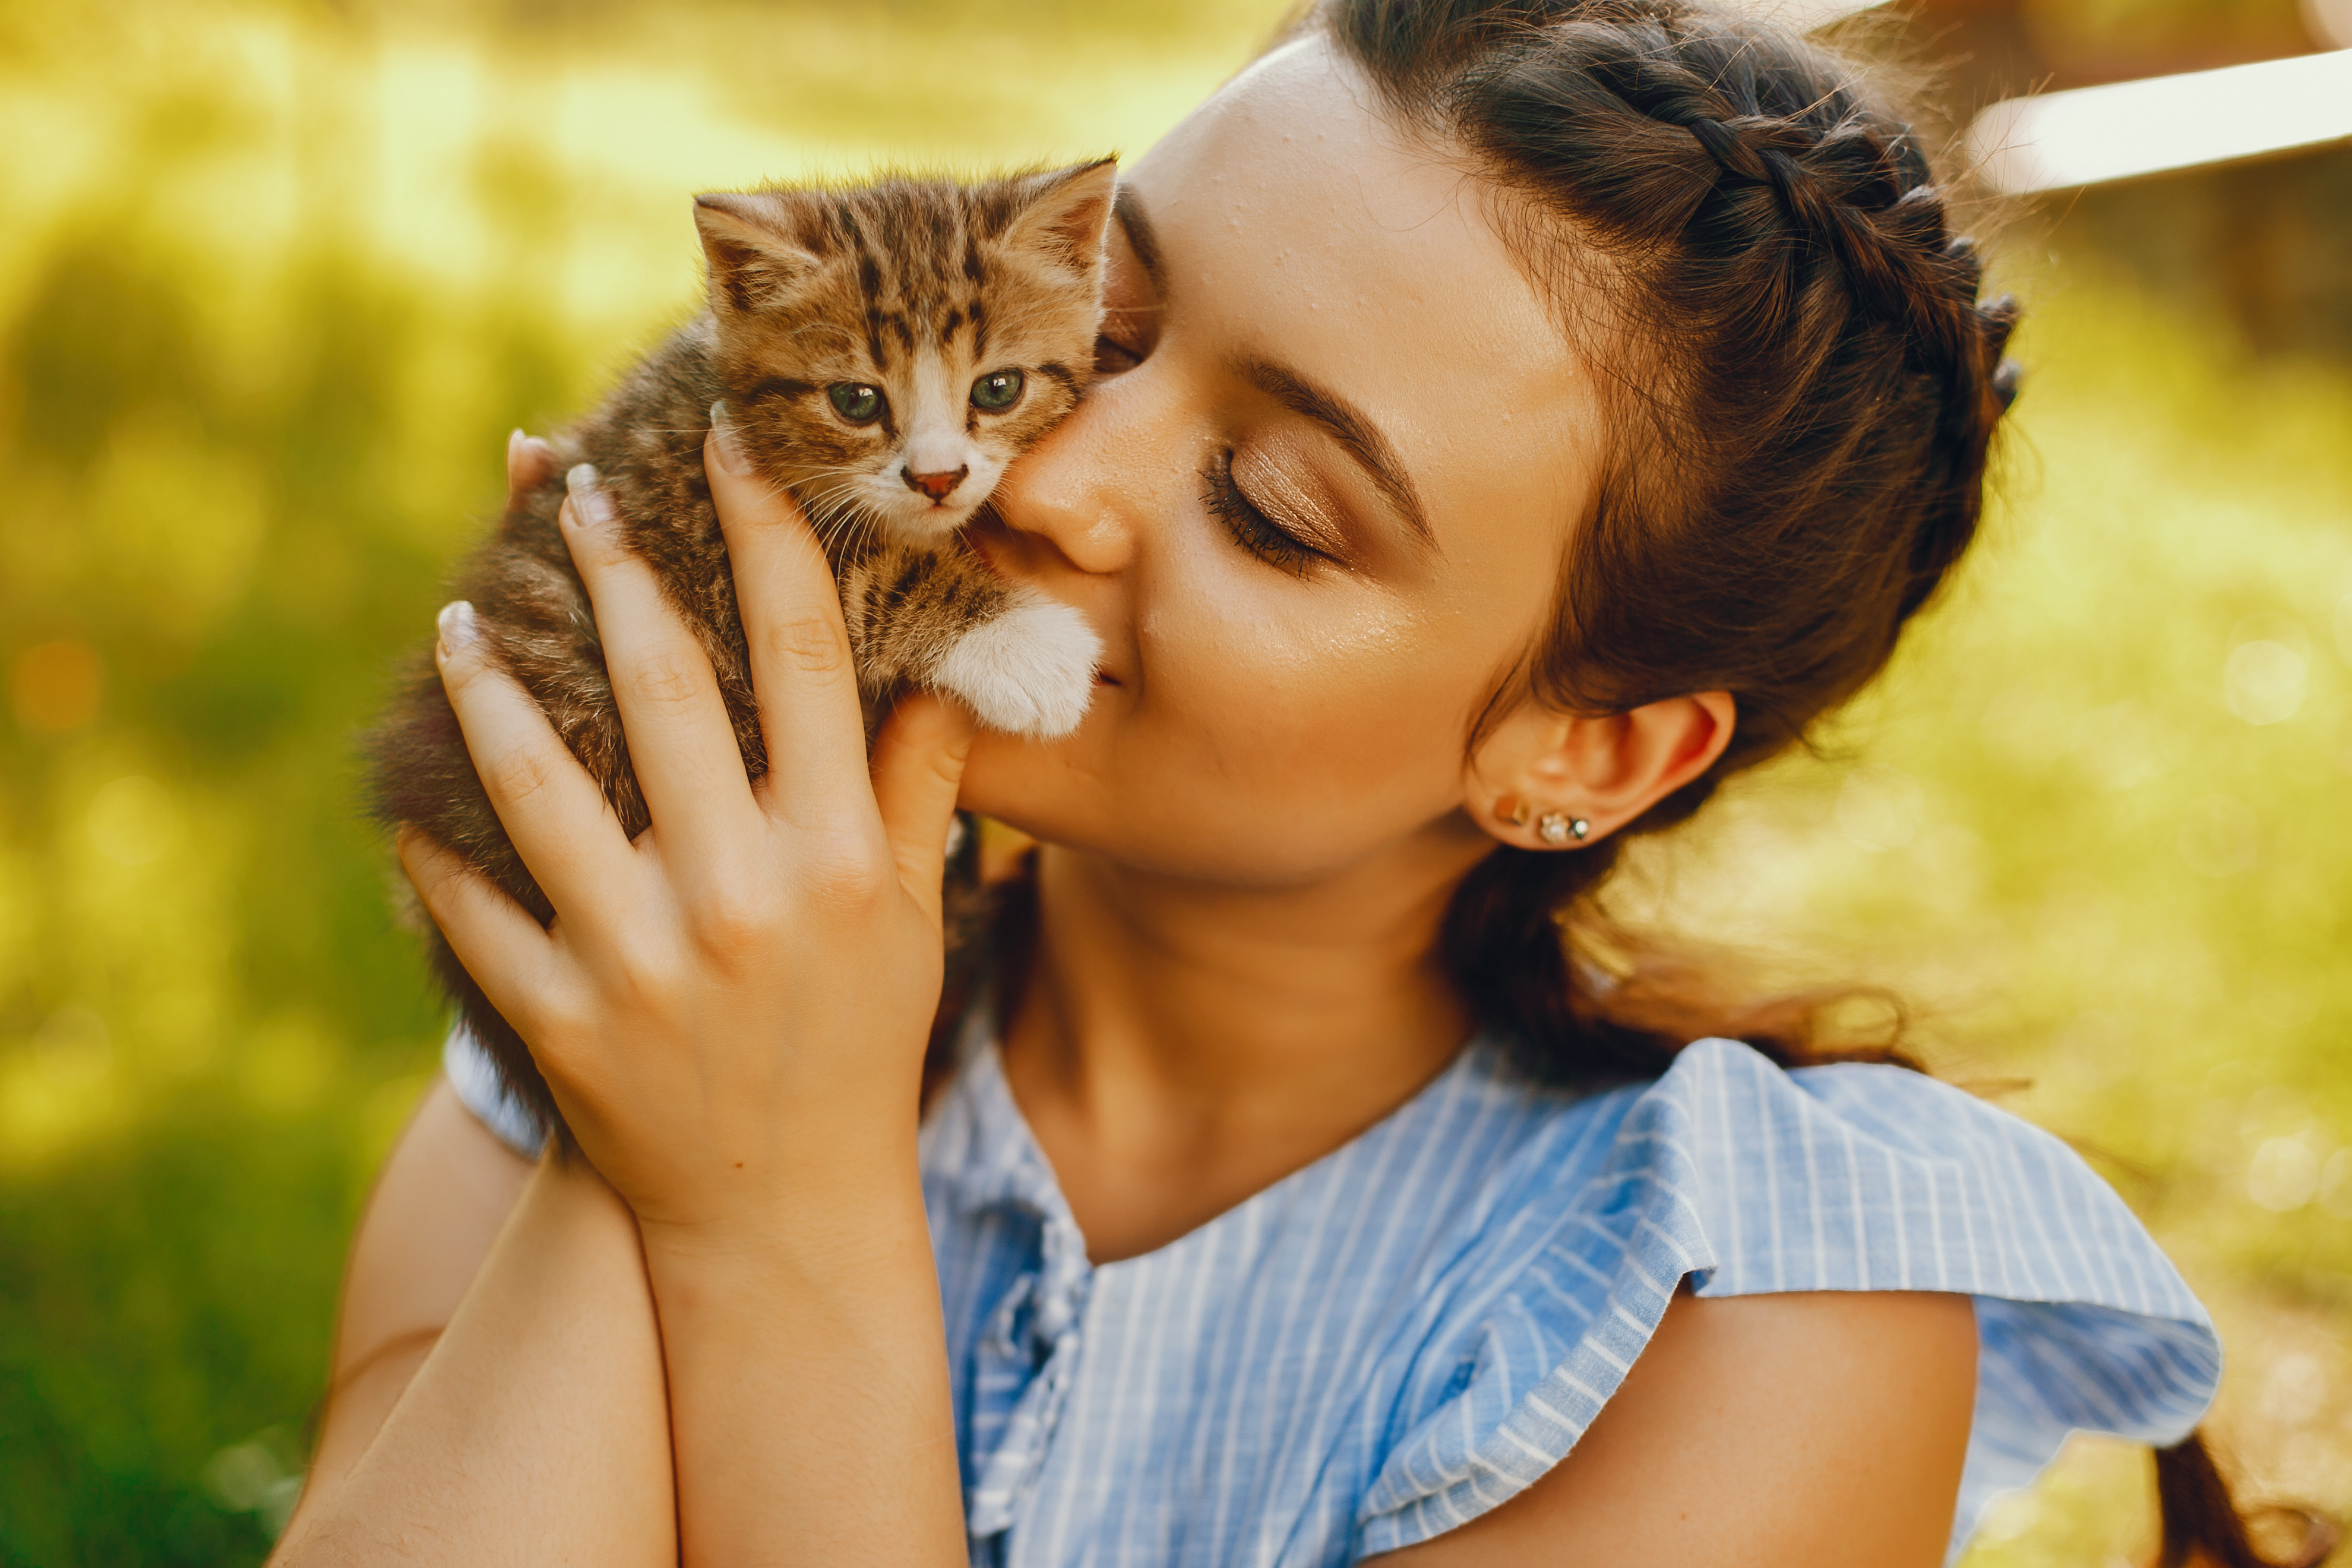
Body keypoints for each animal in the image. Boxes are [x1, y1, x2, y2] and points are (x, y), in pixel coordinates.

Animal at [366, 160, 1119, 1147]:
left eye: (997, 389)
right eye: (856, 400)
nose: (938, 477)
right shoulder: (697, 532)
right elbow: (884, 579)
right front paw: (1033, 648)